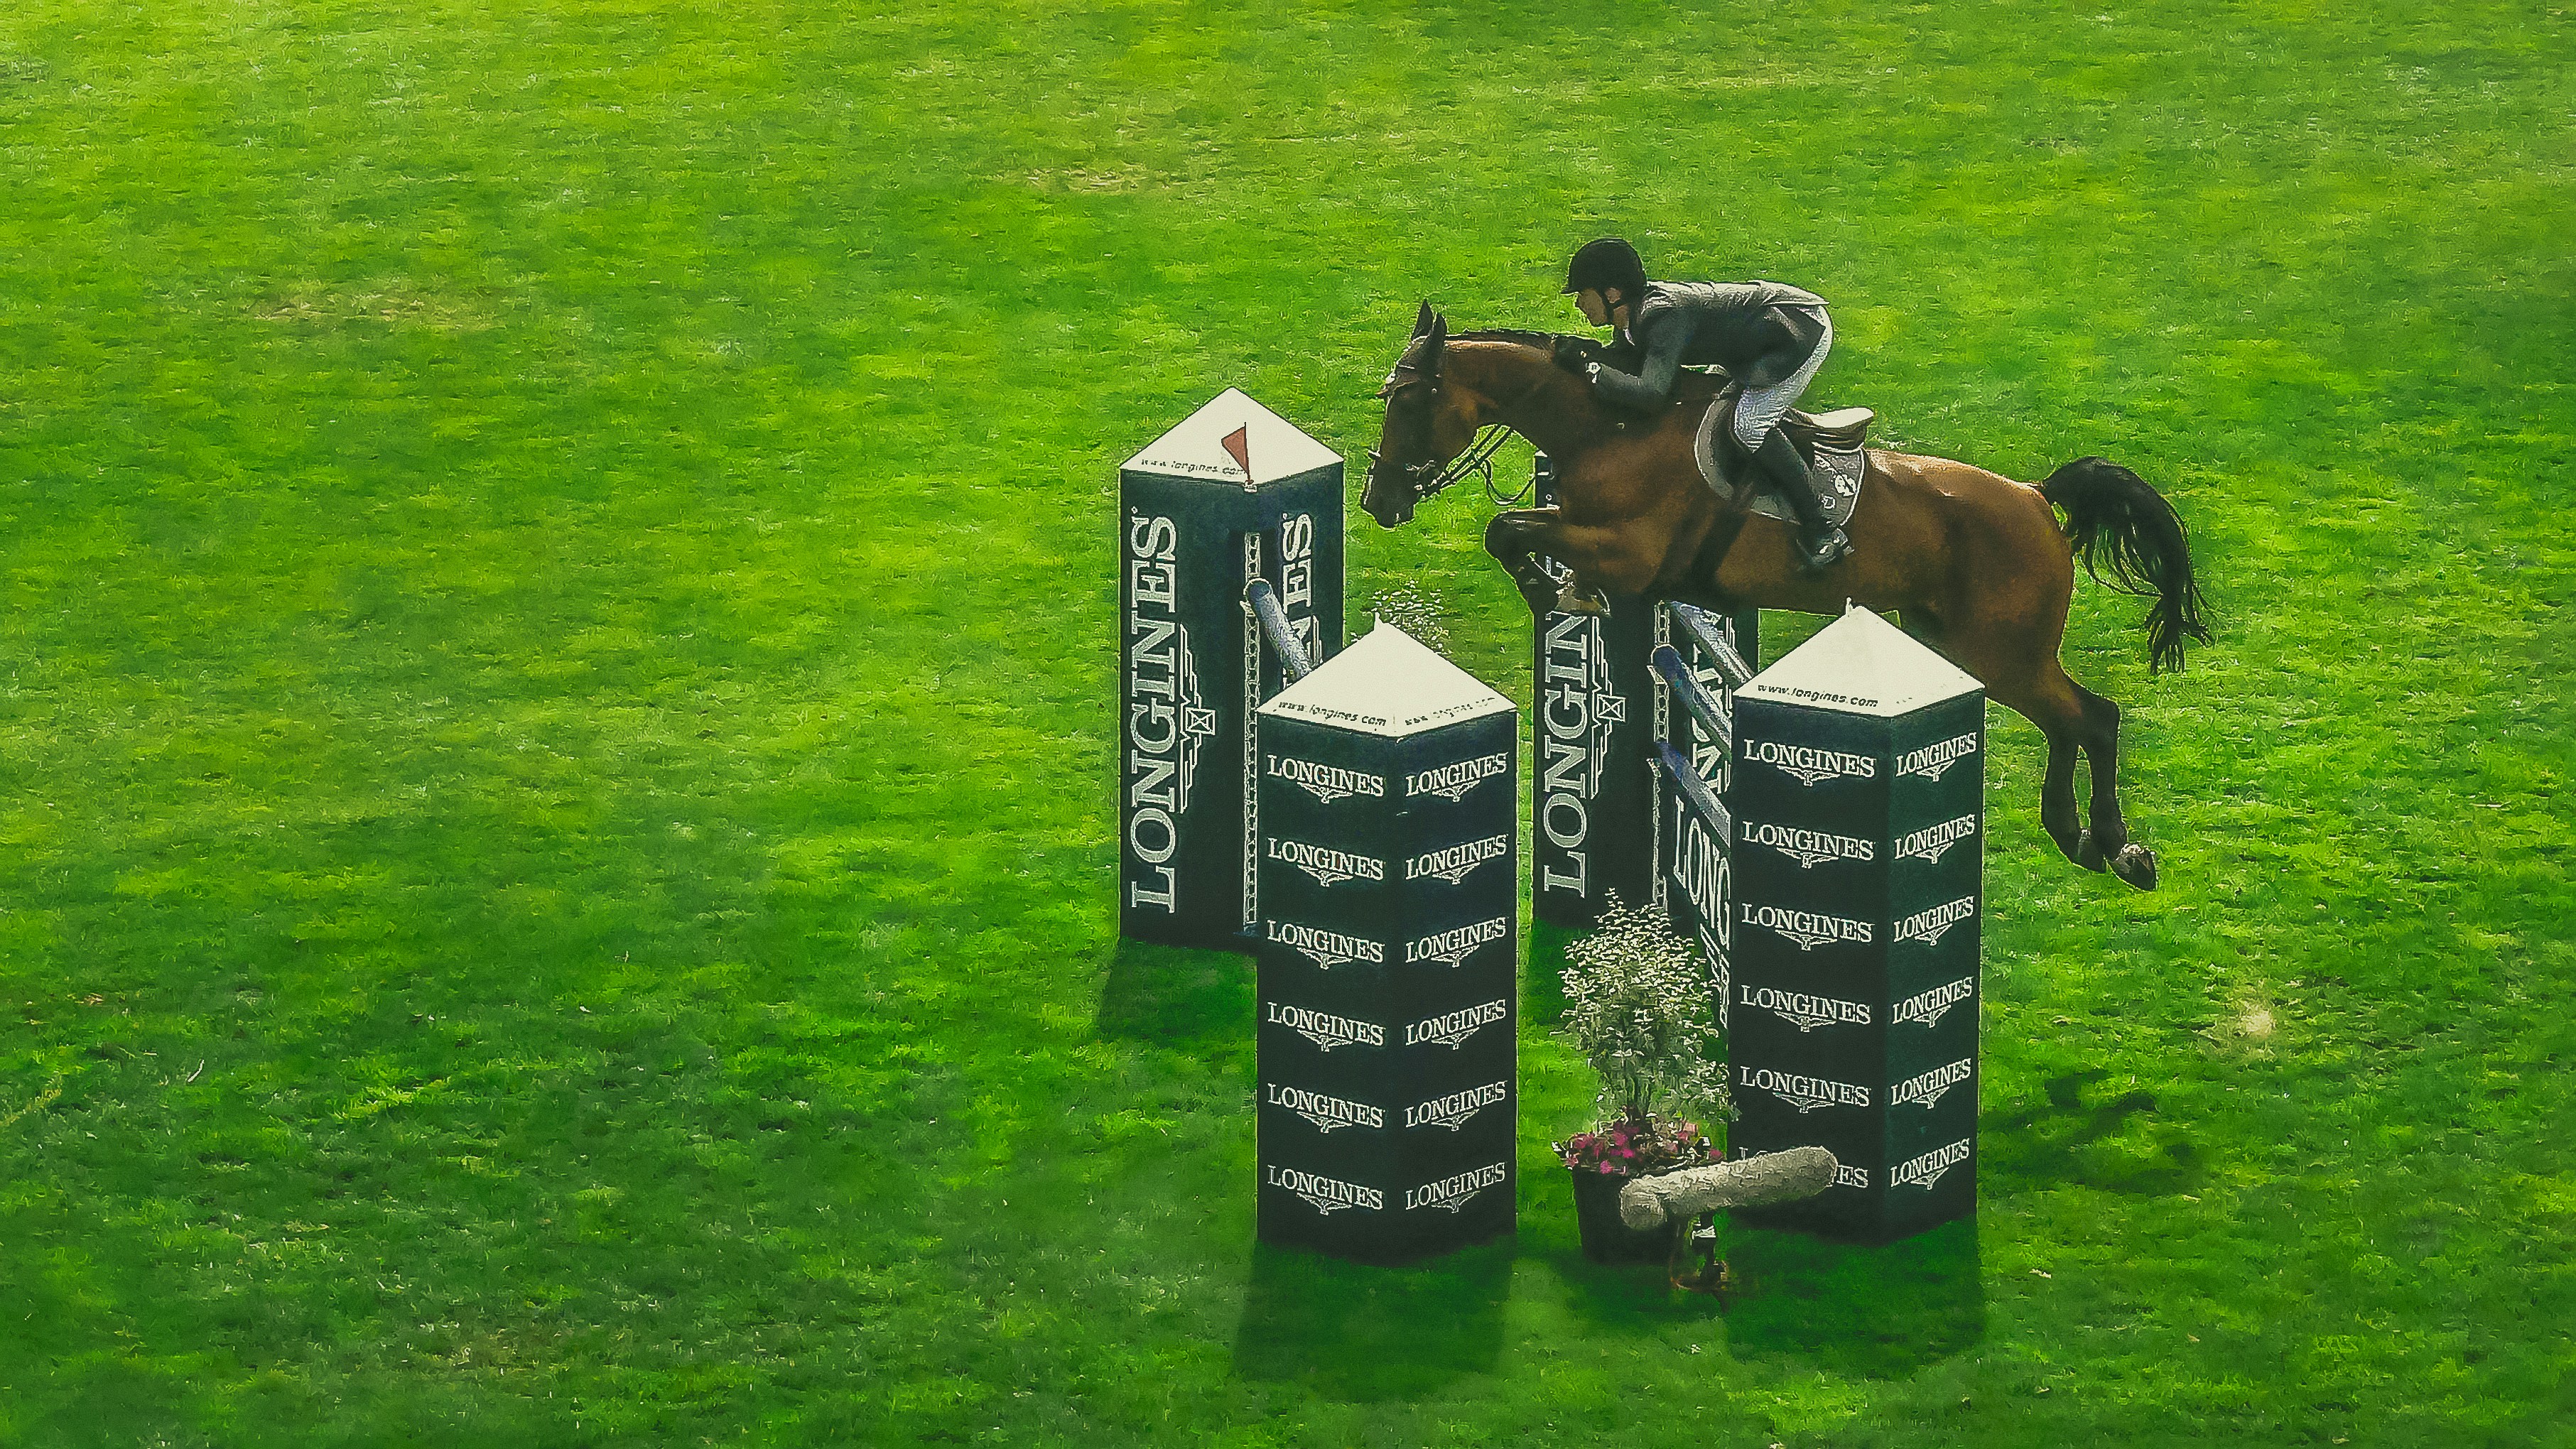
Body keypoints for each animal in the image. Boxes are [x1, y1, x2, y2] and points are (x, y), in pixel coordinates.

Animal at [1362, 303, 2208, 890]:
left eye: (1408, 403)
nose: (1378, 501)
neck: (1610, 427)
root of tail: (2035, 497)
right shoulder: (1588, 531)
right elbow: (1510, 529)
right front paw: (1562, 593)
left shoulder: (1630, 553)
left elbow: (1507, 530)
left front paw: (1552, 594)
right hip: (1964, 645)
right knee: (2069, 722)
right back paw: (2078, 837)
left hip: (2001, 651)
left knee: (2092, 718)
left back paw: (2115, 846)